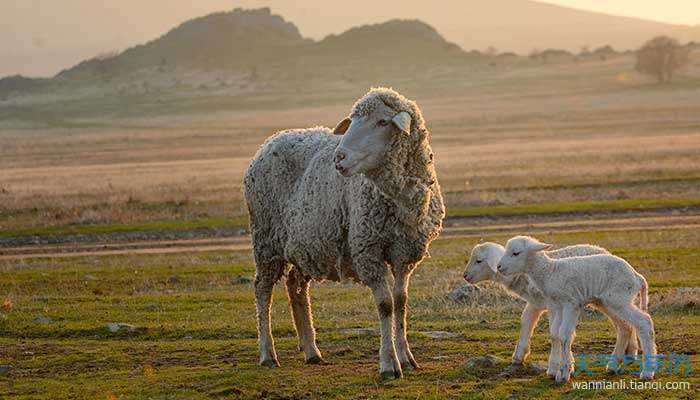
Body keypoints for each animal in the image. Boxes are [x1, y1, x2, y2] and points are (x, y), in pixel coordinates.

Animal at [243, 86, 446, 378]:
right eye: (353, 121)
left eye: (382, 122)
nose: (338, 157)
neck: (397, 199)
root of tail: (271, 140)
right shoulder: (367, 249)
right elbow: (385, 305)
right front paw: (388, 364)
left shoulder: (405, 254)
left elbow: (400, 302)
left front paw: (406, 357)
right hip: (266, 239)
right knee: (262, 289)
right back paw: (268, 353)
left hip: (308, 244)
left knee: (295, 285)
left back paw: (311, 350)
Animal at [464, 242, 640, 376]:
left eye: (479, 261)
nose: (465, 276)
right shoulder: (535, 303)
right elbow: (526, 322)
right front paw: (519, 355)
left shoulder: (552, 303)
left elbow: (557, 333)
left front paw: (561, 364)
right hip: (602, 301)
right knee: (627, 324)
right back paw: (629, 353)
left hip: (609, 300)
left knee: (626, 324)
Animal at [498, 236, 656, 382]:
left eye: (516, 253)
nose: (499, 267)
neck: (550, 272)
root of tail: (637, 277)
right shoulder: (556, 306)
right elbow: (555, 334)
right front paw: (556, 369)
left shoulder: (570, 303)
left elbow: (564, 335)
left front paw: (563, 373)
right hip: (607, 301)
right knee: (625, 327)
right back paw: (613, 366)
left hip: (619, 298)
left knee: (644, 322)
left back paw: (647, 372)